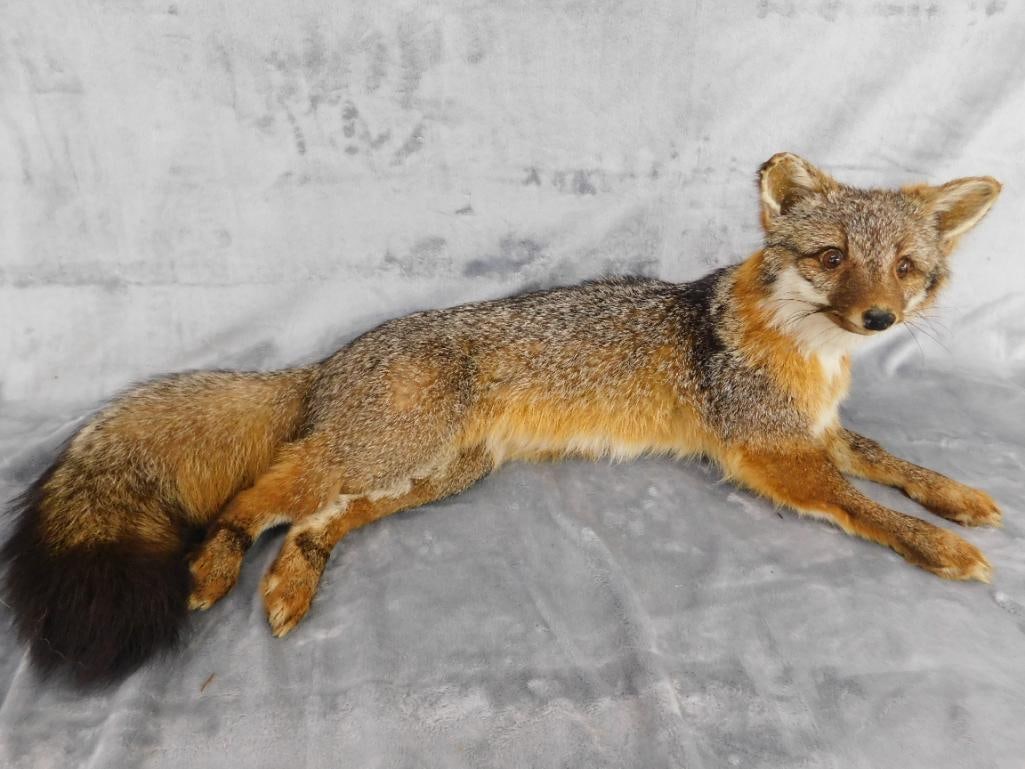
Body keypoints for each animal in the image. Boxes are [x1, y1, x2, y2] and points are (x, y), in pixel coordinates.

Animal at [1, 153, 1004, 685]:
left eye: (906, 269)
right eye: (830, 257)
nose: (877, 320)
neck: (806, 353)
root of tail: (331, 358)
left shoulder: (813, 433)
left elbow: (893, 461)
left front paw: (957, 497)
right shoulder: (770, 452)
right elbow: (863, 502)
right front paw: (939, 544)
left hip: (434, 472)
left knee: (317, 519)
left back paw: (289, 586)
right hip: (384, 452)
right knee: (255, 497)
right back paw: (217, 567)